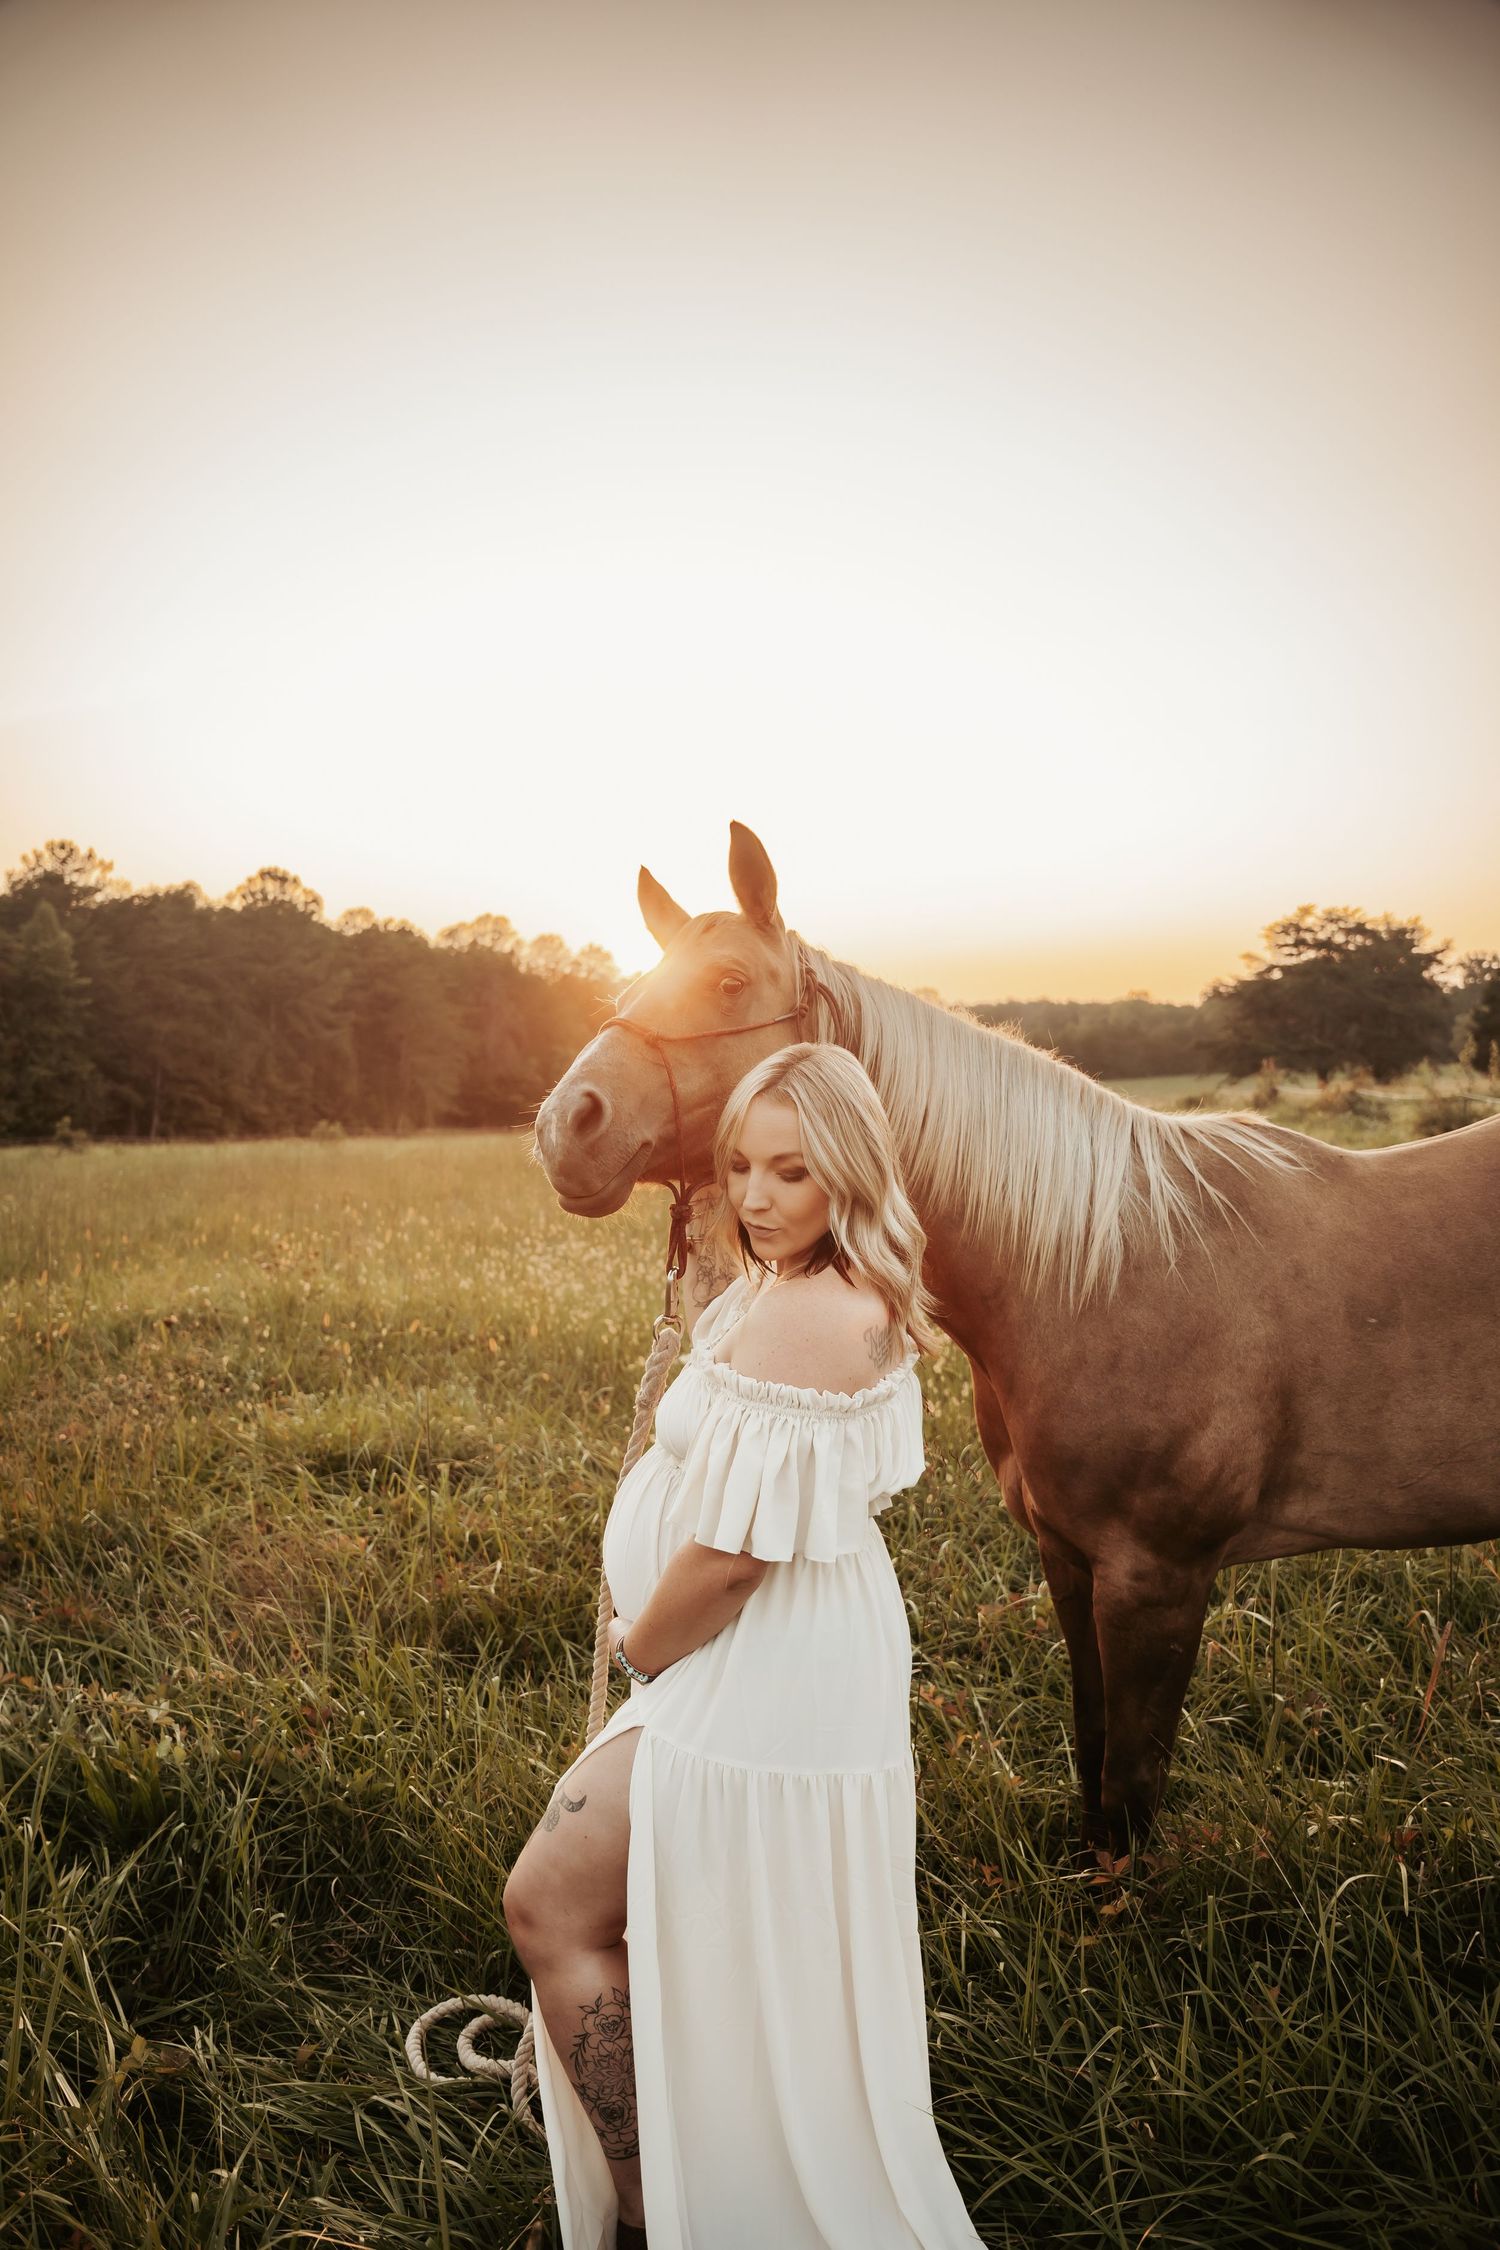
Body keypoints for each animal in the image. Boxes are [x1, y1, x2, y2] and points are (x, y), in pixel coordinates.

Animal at [532, 821, 1500, 1854]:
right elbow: (1095, 1748)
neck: (1105, 1271)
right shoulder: (1071, 1561)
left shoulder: (1157, 1582)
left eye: (726, 982)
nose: (566, 1125)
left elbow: (1132, 1790)